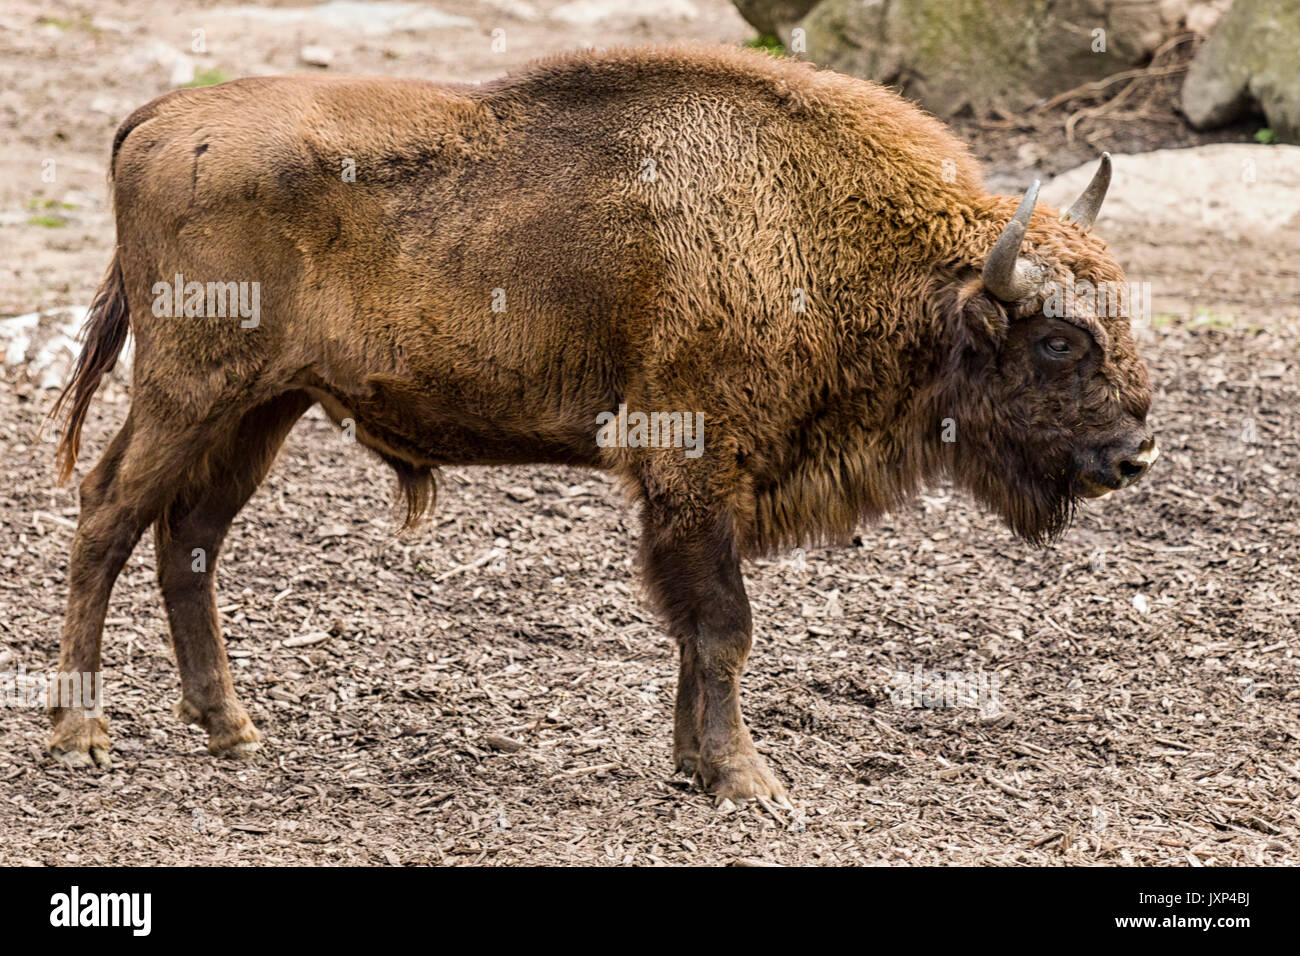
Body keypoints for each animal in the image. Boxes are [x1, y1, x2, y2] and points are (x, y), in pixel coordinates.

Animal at [45, 46, 1154, 806]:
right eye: (1059, 341)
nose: (1136, 452)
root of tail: (158, 118)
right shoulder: (692, 469)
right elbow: (724, 624)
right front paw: (748, 780)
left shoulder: (695, 496)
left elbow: (697, 630)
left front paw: (692, 766)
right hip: (188, 390)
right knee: (107, 514)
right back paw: (80, 732)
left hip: (261, 406)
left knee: (188, 534)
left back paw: (231, 728)